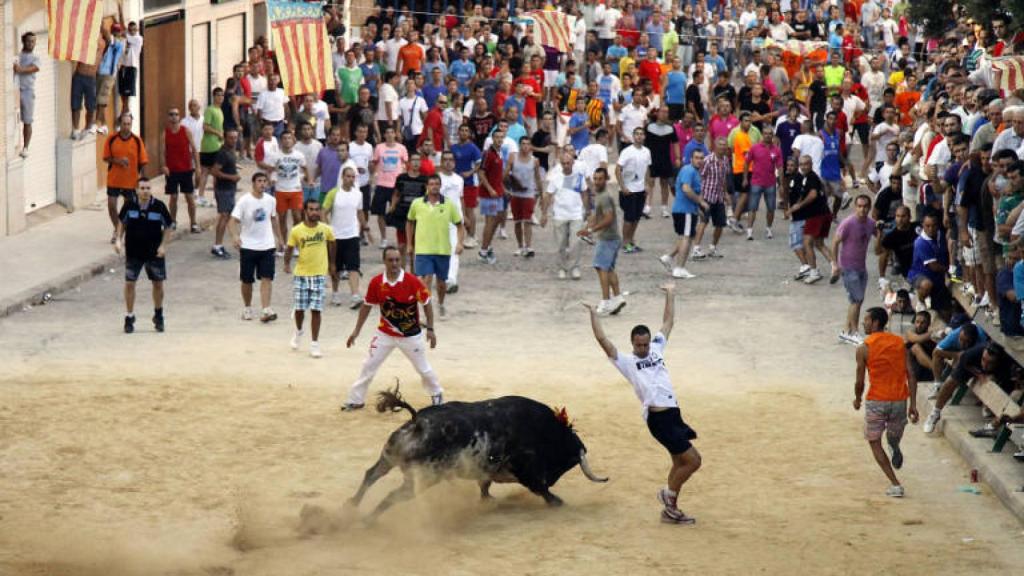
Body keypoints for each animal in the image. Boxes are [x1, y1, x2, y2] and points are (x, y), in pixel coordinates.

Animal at [352, 389, 606, 516]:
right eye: (569, 460)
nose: (552, 479)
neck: (544, 430)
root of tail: (418, 422)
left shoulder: (488, 471)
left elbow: (484, 486)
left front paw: (487, 501)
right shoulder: (526, 471)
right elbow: (541, 489)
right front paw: (558, 502)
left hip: (389, 456)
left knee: (371, 475)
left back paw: (350, 508)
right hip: (422, 478)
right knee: (392, 496)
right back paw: (367, 520)